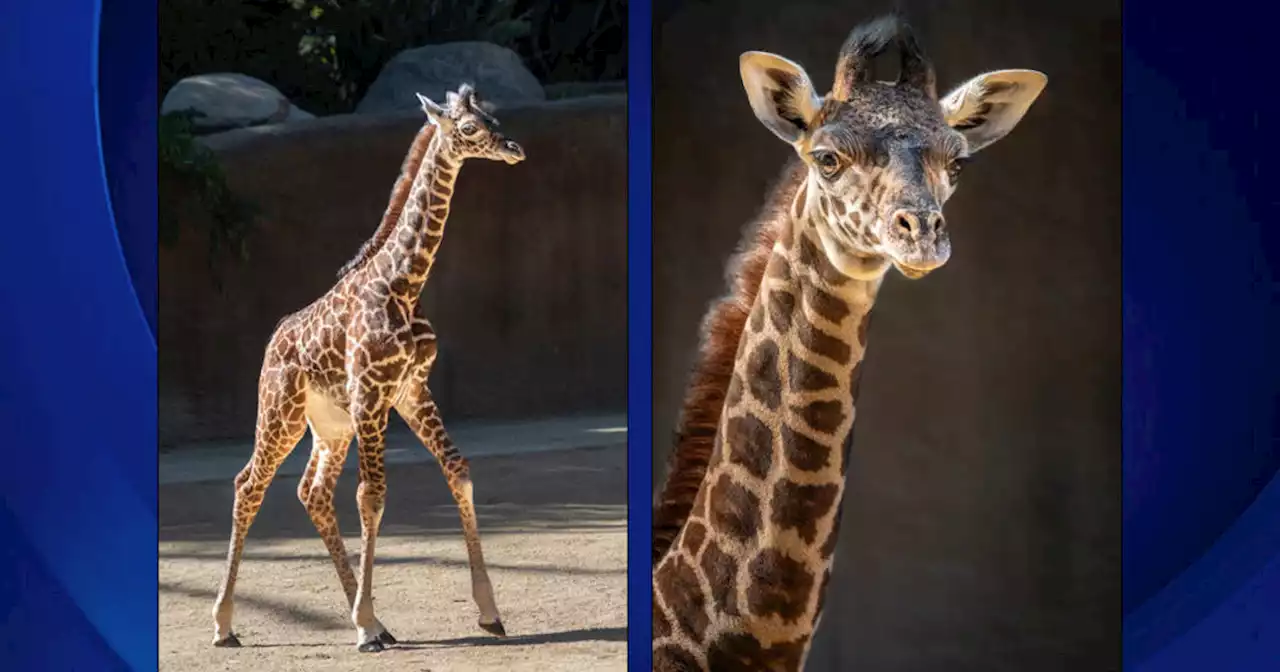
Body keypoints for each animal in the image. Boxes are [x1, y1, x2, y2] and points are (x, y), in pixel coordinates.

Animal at [209, 82, 524, 650]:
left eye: (493, 118)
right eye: (469, 129)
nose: (514, 149)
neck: (404, 283)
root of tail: (272, 341)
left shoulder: (411, 391)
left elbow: (459, 471)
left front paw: (489, 612)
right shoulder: (371, 394)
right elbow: (372, 496)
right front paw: (364, 622)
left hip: (330, 426)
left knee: (311, 491)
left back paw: (372, 618)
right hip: (282, 413)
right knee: (249, 484)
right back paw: (225, 624)